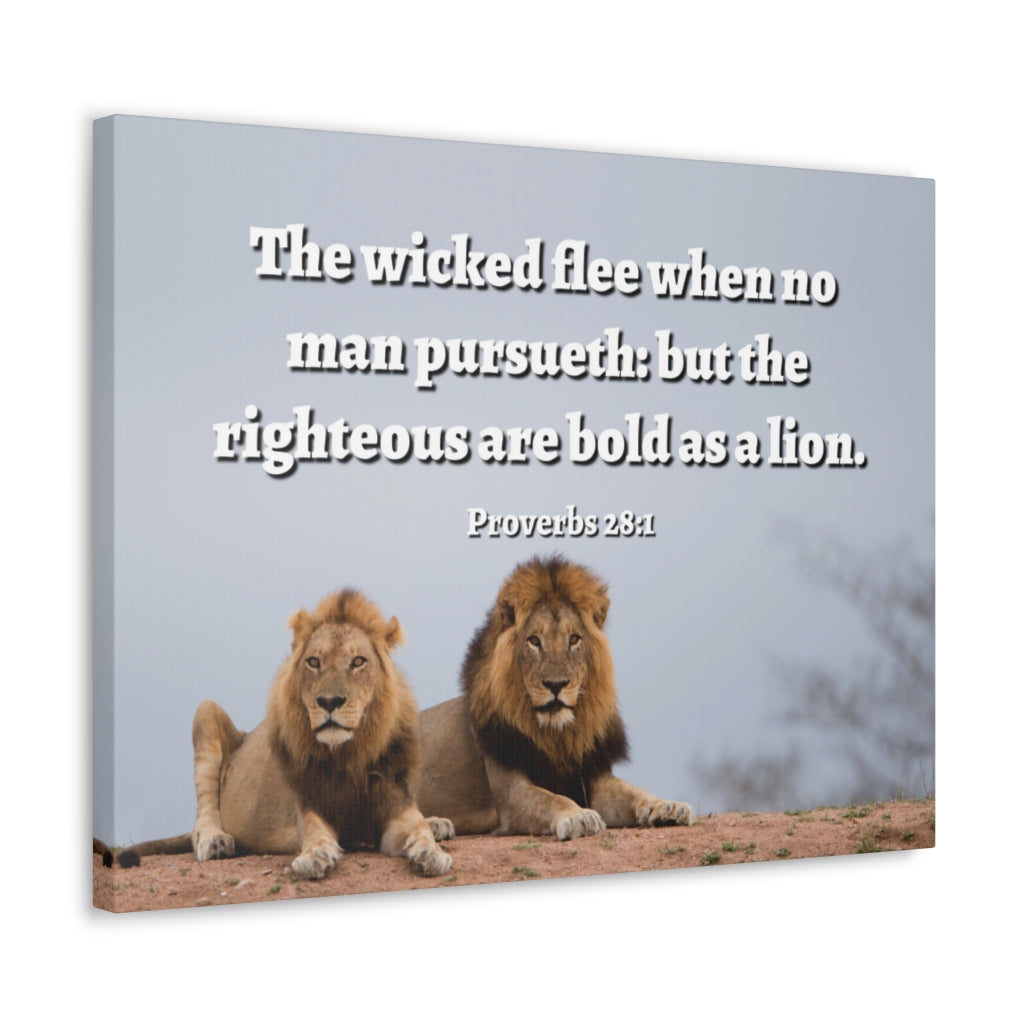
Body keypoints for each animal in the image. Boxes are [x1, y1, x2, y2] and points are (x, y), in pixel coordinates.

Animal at [116, 590, 453, 880]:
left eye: (358, 661)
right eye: (314, 662)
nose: (329, 701)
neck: (349, 755)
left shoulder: (395, 805)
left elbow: (417, 827)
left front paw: (432, 851)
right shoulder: (309, 804)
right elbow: (315, 831)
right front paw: (315, 856)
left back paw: (439, 823)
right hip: (206, 711)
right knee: (203, 816)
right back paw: (215, 841)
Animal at [416, 555, 695, 840]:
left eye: (574, 639)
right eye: (534, 641)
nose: (556, 684)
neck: (558, 736)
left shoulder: (593, 777)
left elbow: (633, 791)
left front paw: (667, 806)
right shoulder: (511, 795)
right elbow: (552, 799)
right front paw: (579, 816)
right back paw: (436, 824)